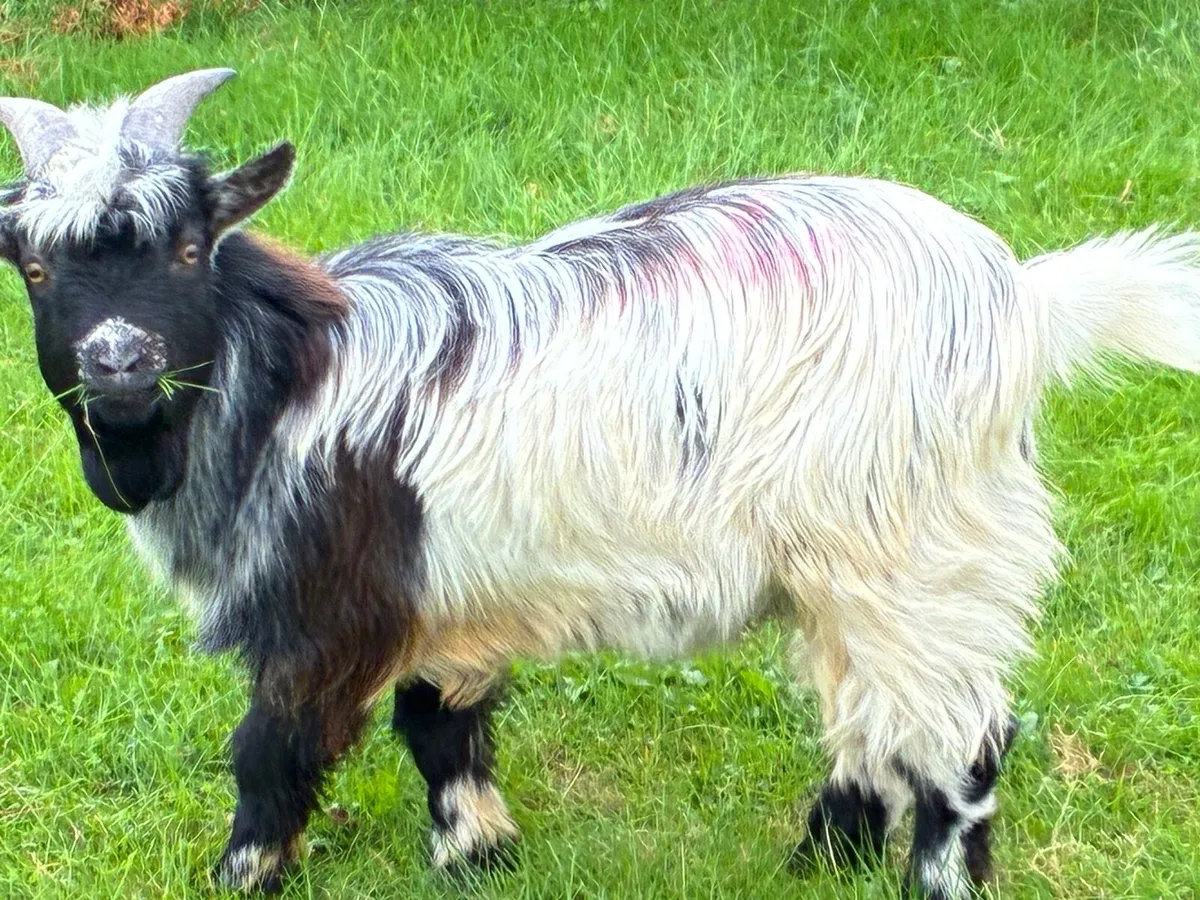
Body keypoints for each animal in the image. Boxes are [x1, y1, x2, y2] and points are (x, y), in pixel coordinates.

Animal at [3, 69, 1199, 898]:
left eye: (191, 247)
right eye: (36, 266)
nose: (119, 360)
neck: (293, 380)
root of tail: (1024, 301)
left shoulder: (327, 607)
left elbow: (272, 752)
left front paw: (241, 874)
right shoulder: (452, 589)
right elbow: (440, 724)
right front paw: (477, 853)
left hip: (920, 551)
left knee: (960, 733)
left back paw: (932, 879)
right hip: (854, 565)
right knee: (868, 718)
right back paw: (820, 858)